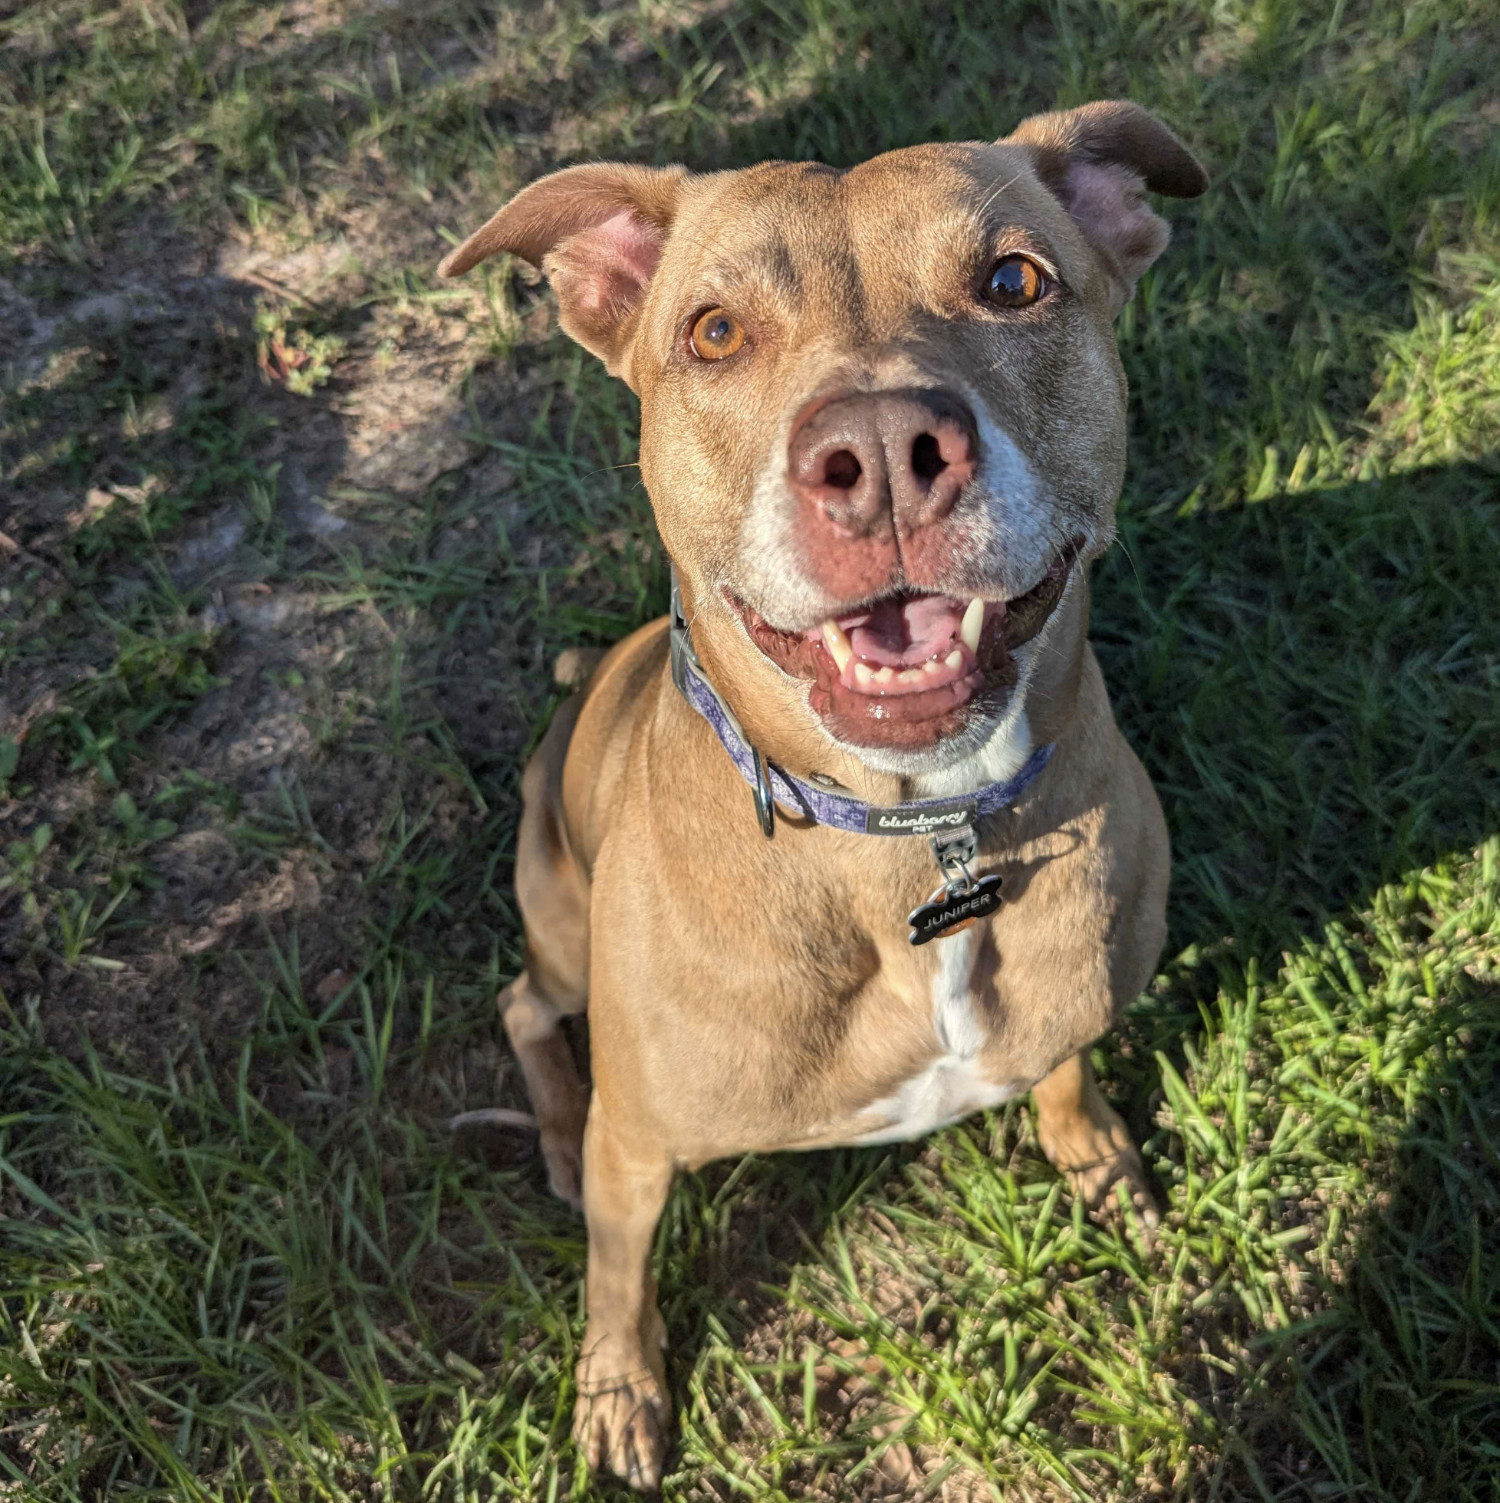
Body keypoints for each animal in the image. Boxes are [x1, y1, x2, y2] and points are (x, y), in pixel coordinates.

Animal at [438, 102, 1208, 1490]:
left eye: (1014, 282)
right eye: (714, 332)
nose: (886, 453)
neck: (917, 833)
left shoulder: (1073, 997)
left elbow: (1064, 1067)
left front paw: (1098, 1154)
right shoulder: (644, 1151)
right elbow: (619, 1283)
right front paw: (619, 1393)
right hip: (561, 927)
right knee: (524, 1007)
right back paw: (558, 1140)